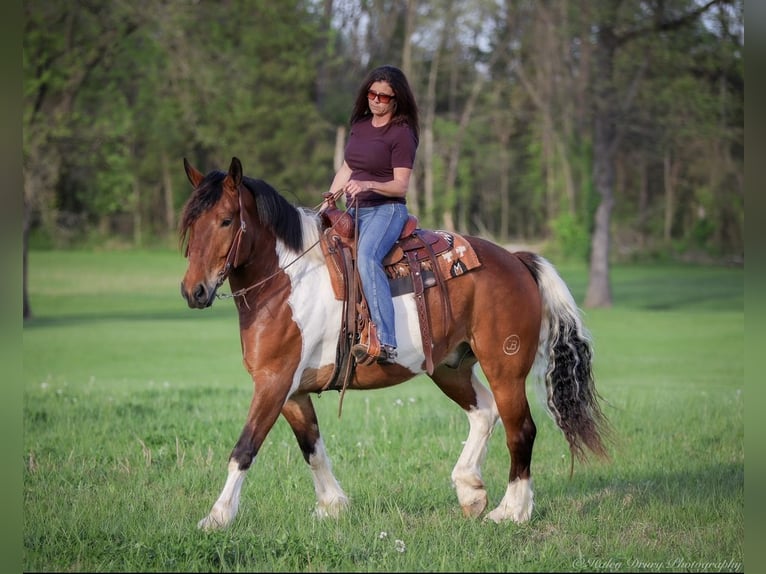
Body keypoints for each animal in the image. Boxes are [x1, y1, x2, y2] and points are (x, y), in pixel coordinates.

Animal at [177, 156, 608, 532]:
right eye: (190, 223)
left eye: (226, 220)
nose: (193, 291)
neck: (288, 281)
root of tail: (516, 261)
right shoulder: (292, 391)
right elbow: (311, 446)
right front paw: (332, 506)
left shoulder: (274, 382)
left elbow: (245, 448)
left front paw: (216, 517)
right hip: (450, 367)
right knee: (485, 412)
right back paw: (470, 489)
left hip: (504, 367)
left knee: (521, 429)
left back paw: (512, 511)